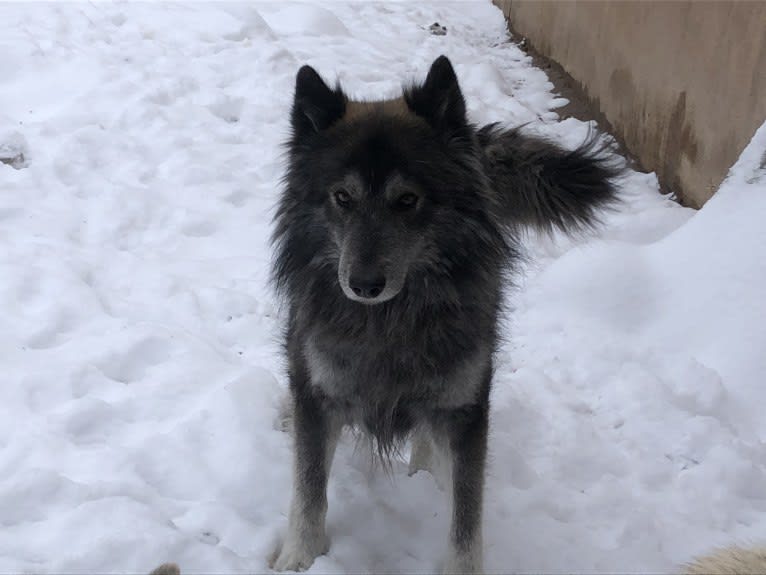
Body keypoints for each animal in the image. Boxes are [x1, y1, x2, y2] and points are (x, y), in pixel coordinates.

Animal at [270, 55, 616, 575]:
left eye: (407, 200)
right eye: (342, 198)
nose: (363, 285)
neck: (390, 322)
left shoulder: (464, 411)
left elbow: (466, 518)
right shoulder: (319, 395)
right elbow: (308, 488)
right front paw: (299, 557)